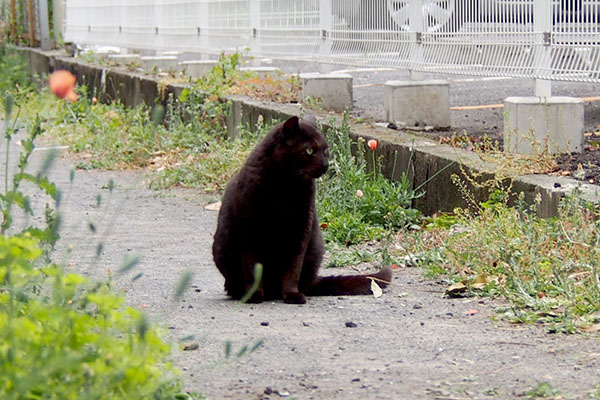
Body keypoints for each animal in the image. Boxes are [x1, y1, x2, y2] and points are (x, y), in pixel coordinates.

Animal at [213, 115, 392, 304]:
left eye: (326, 150)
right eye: (309, 151)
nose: (326, 164)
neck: (286, 185)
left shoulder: (301, 228)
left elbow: (293, 269)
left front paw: (292, 294)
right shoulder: (249, 230)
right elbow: (253, 268)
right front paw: (254, 294)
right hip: (221, 248)